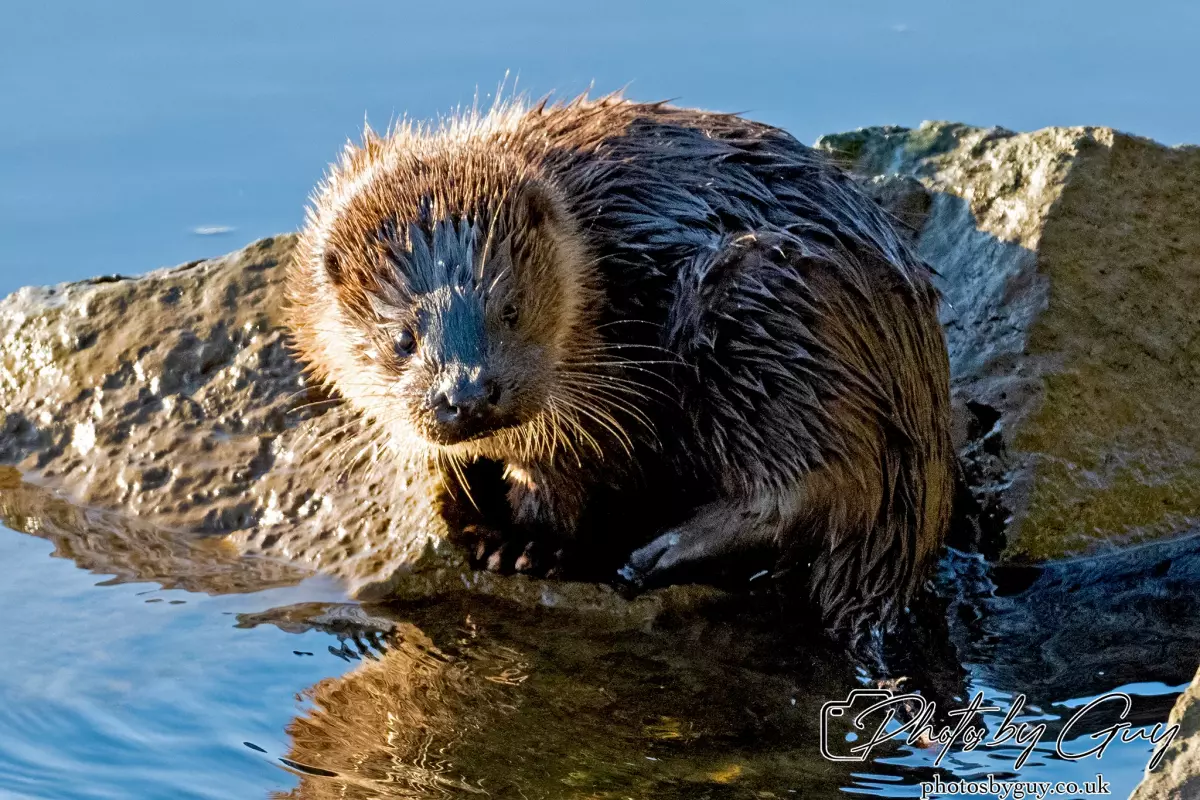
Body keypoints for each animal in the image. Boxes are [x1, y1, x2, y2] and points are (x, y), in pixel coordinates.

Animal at [287, 94, 955, 646]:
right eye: (403, 337)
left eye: (511, 309)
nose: (469, 391)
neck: (601, 259)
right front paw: (475, 525)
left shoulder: (616, 377)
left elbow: (574, 462)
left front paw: (527, 546)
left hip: (764, 314)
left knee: (821, 482)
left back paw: (654, 554)